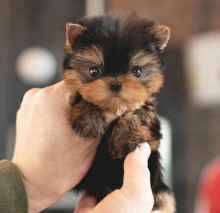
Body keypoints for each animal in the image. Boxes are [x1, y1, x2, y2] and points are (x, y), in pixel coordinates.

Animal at [62, 13, 176, 213]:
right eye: (93, 71)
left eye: (137, 71)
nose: (115, 83)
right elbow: (86, 96)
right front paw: (89, 117)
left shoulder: (153, 130)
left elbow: (134, 111)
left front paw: (125, 137)